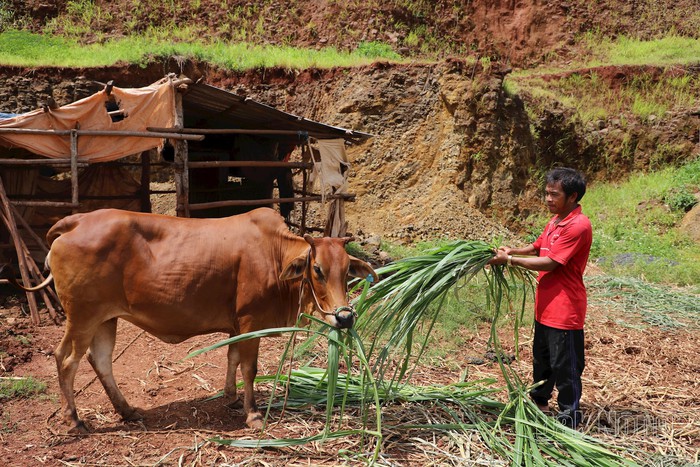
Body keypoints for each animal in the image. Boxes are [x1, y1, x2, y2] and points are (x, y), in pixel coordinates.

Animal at [42, 208, 378, 436]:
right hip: (82, 316)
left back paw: (127, 411)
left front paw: (231, 398)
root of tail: (77, 220)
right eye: (317, 269)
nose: (344, 317)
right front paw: (253, 413)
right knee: (66, 359)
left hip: (106, 318)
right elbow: (249, 368)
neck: (274, 253)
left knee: (100, 360)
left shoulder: (237, 325)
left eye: (347, 270)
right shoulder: (251, 321)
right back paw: (74, 419)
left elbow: (232, 358)